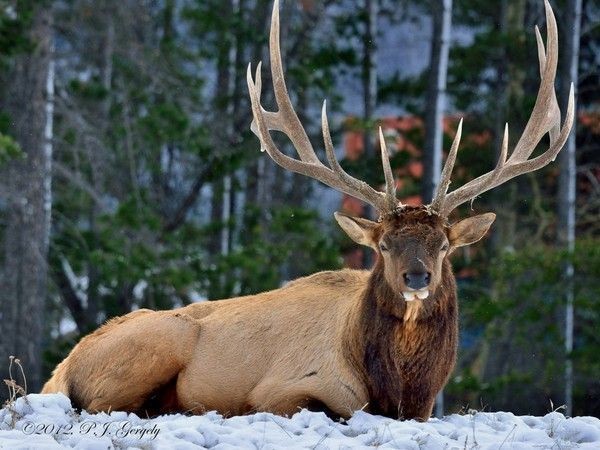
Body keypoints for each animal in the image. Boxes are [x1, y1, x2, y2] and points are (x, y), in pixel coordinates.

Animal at [41, 0, 572, 422]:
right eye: (383, 245)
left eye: (443, 245)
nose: (417, 277)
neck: (398, 387)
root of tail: (60, 369)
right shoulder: (285, 388)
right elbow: (325, 407)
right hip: (159, 341)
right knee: (101, 404)